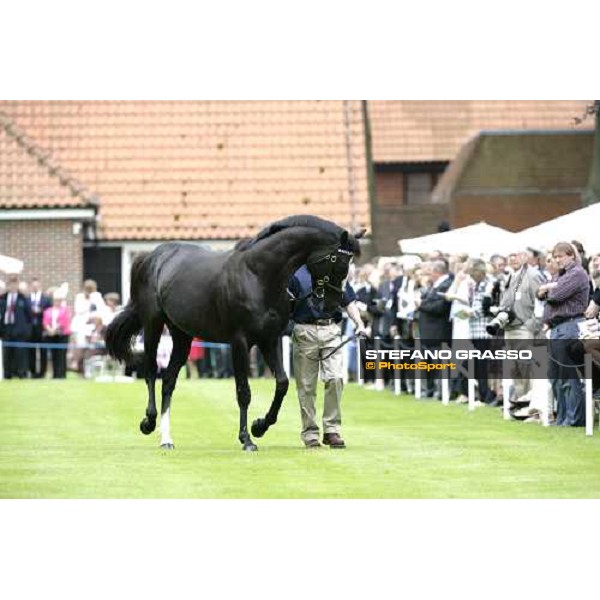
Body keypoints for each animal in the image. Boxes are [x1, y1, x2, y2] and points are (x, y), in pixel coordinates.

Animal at [105, 214, 364, 450]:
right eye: (335, 259)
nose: (331, 306)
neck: (258, 275)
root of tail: (151, 257)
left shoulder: (269, 340)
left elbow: (282, 383)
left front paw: (259, 426)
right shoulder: (240, 342)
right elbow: (243, 391)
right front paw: (246, 439)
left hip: (182, 335)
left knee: (168, 380)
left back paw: (167, 439)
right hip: (153, 325)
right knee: (150, 370)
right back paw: (148, 422)